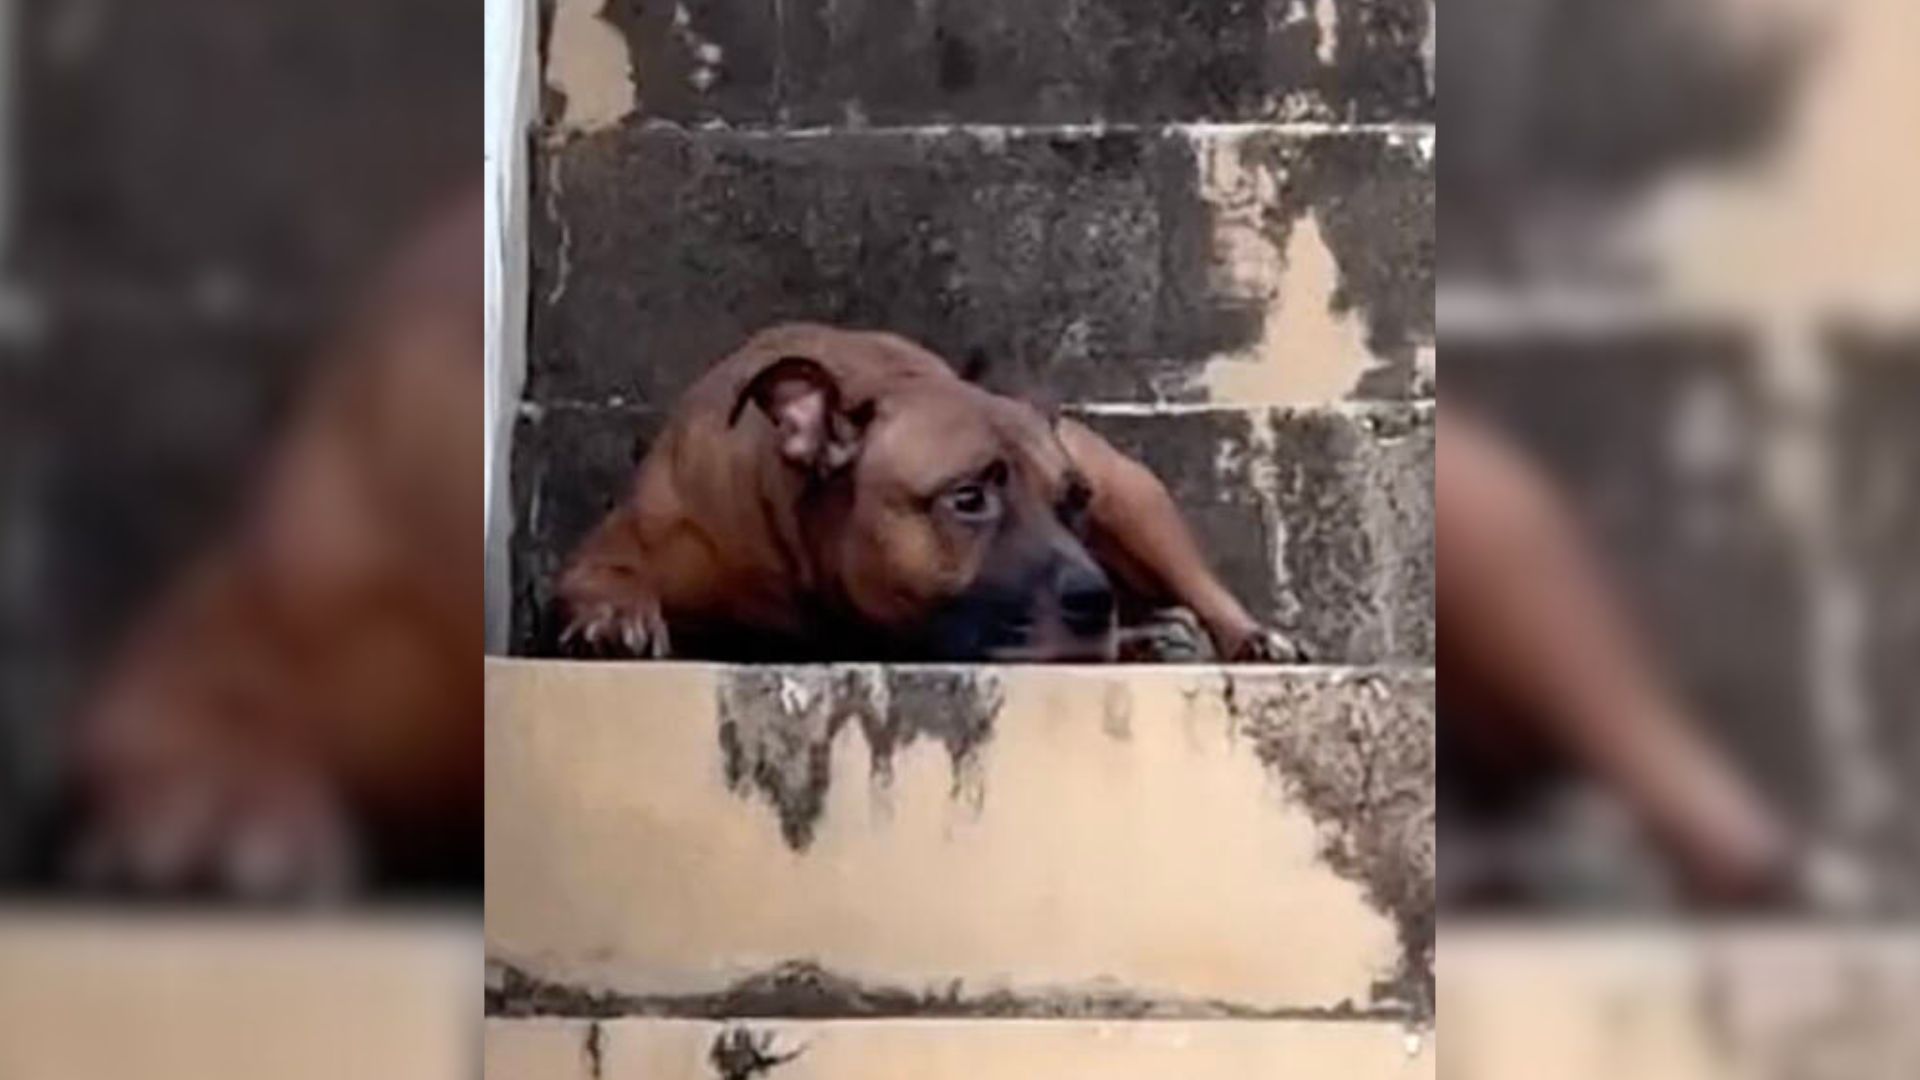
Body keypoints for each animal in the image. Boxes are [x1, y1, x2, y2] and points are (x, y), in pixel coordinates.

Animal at [560, 320, 1297, 657]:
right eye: (968, 499)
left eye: (1074, 502)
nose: (1096, 599)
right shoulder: (626, 543)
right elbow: (605, 576)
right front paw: (615, 617)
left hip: (1135, 498)